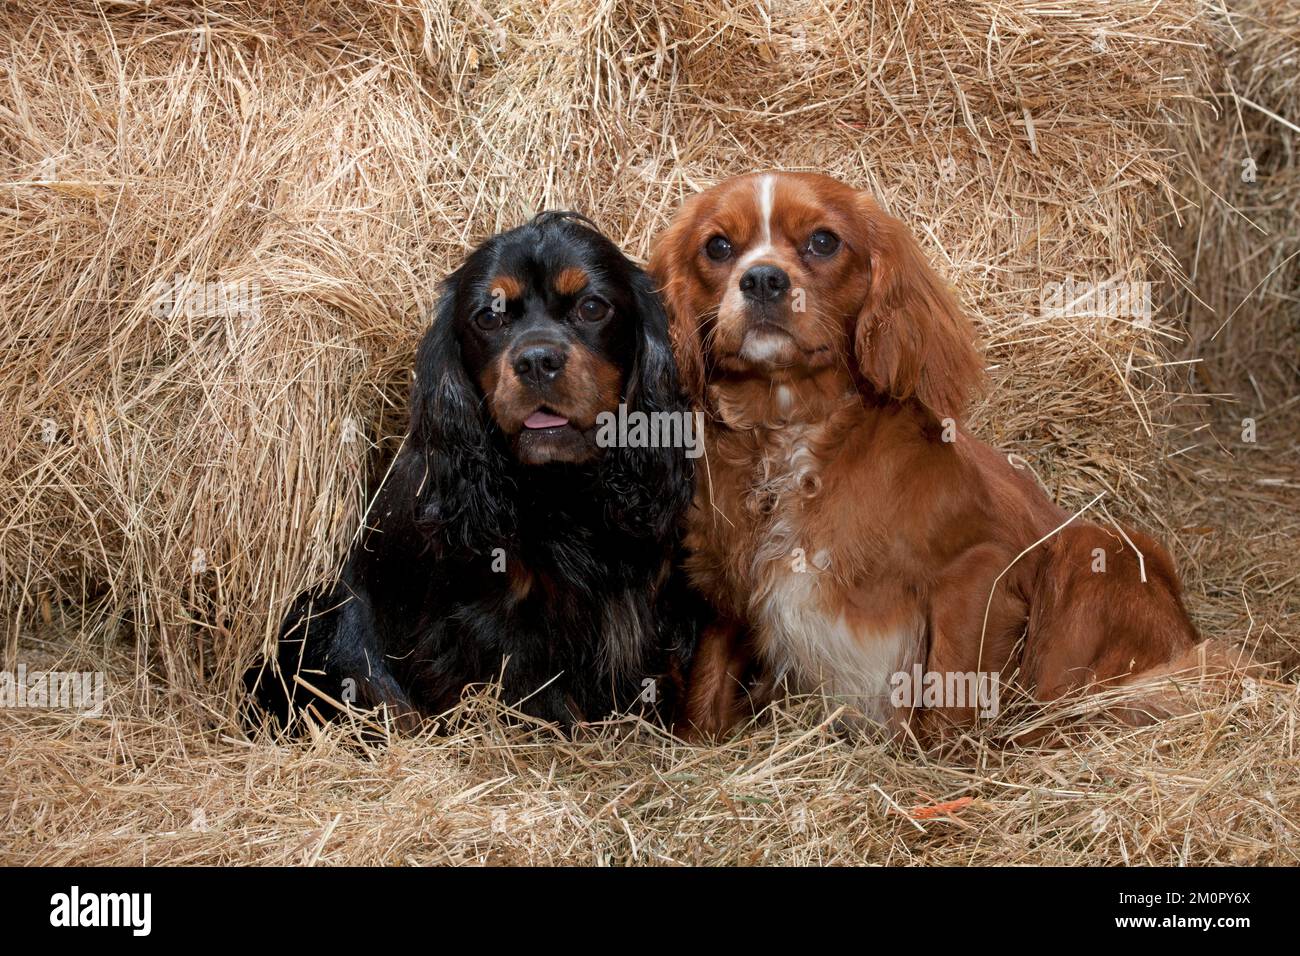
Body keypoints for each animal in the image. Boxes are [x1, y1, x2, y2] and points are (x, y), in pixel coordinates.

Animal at [650, 171, 1227, 738]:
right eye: (718, 247)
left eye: (823, 241)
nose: (763, 279)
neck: (791, 431)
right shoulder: (729, 582)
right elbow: (707, 684)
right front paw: (699, 742)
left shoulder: (976, 572)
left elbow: (949, 694)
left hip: (1093, 550)